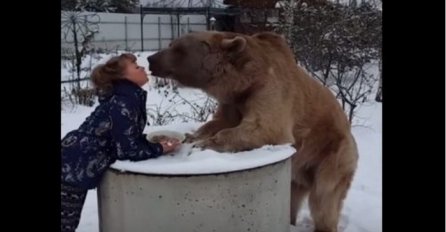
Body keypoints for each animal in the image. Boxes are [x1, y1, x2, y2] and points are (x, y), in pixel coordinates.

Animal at [148, 30, 360, 232]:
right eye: (172, 44)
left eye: (178, 49)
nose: (151, 59)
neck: (243, 82)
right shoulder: (233, 103)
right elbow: (217, 122)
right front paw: (192, 137)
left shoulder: (268, 90)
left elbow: (263, 128)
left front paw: (201, 145)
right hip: (298, 170)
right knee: (292, 197)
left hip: (332, 155)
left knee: (324, 198)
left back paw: (324, 225)